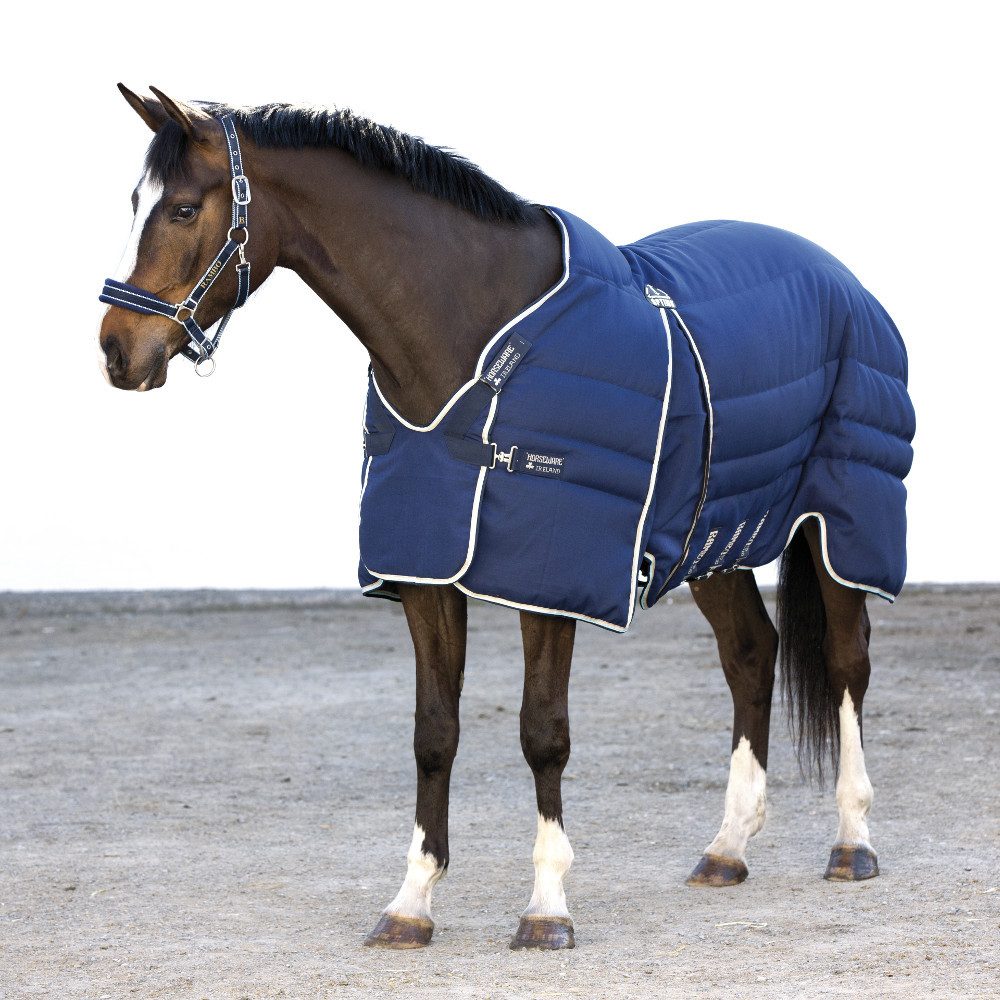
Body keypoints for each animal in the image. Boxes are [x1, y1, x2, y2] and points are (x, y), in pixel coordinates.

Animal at [97, 86, 915, 950]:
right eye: (135, 203)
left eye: (185, 208)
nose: (117, 349)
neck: (471, 344)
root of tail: (841, 277)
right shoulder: (426, 572)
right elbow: (434, 734)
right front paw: (410, 904)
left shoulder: (549, 581)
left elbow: (542, 733)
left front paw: (547, 908)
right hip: (712, 532)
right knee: (752, 654)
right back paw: (727, 849)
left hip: (840, 522)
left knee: (848, 661)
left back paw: (853, 842)